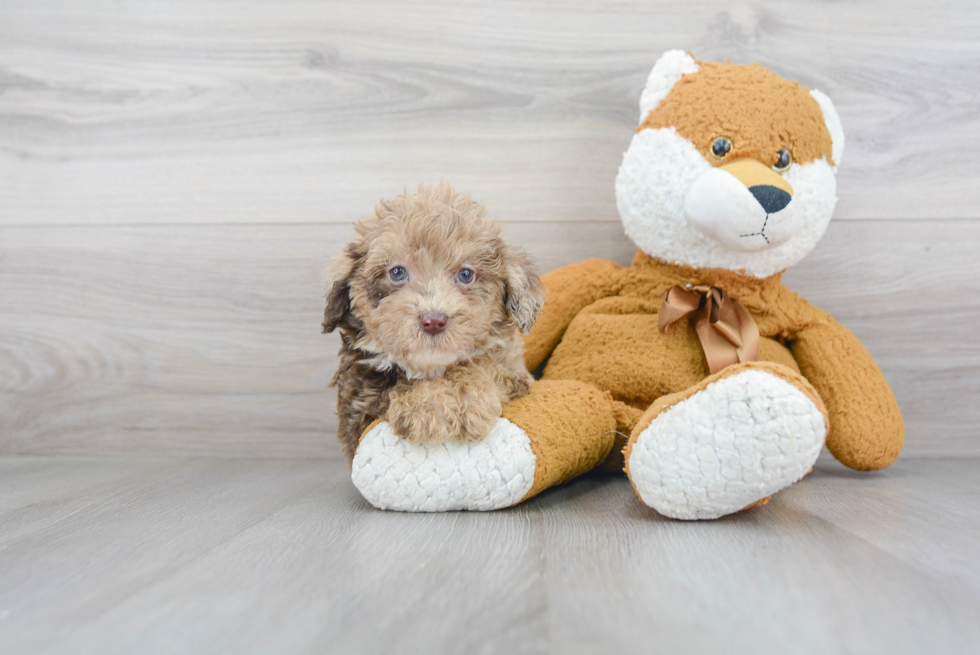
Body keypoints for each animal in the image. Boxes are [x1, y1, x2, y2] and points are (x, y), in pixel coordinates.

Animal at [324, 182, 544, 464]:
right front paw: (426, 406)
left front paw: (467, 394)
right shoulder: (358, 405)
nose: (434, 320)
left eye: (466, 274)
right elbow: (396, 387)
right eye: (397, 272)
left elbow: (481, 362)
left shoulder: (515, 371)